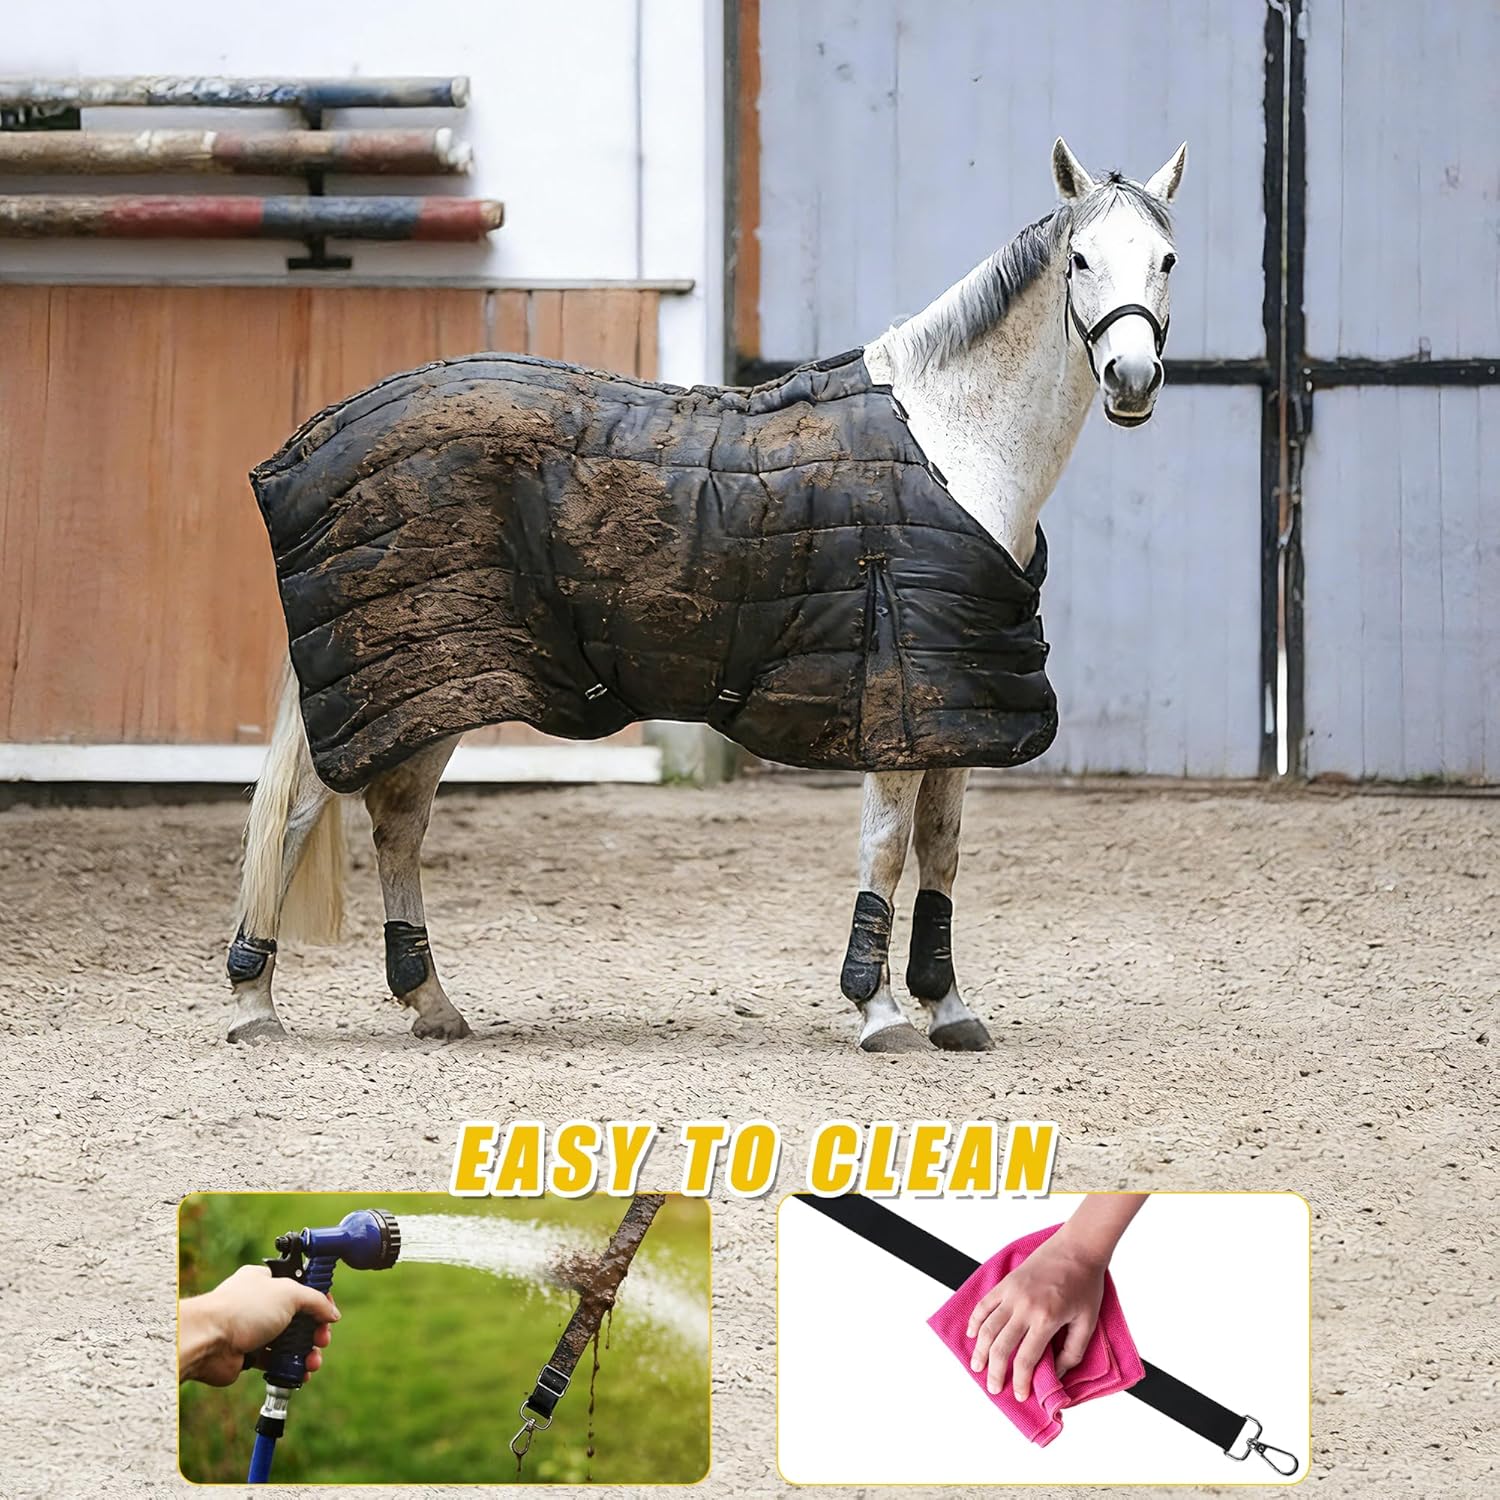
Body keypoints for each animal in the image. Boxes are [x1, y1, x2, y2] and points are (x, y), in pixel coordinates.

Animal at [225, 137, 1186, 1051]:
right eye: (1081, 258)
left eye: (1167, 258)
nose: (1132, 381)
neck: (952, 448)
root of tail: (313, 443)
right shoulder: (897, 707)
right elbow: (885, 849)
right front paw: (878, 1014)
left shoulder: (956, 709)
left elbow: (941, 855)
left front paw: (947, 1007)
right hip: (406, 681)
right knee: (303, 814)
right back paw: (253, 1001)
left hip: (436, 686)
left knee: (395, 823)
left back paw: (429, 1003)